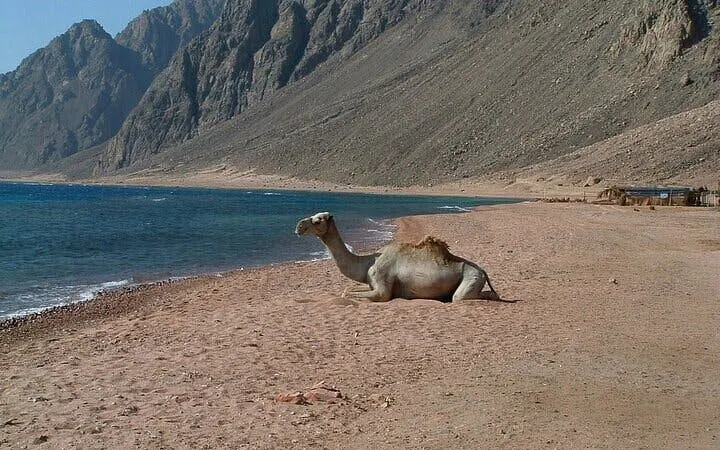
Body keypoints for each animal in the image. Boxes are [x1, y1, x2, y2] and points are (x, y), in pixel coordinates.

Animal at [295, 212, 499, 302]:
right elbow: (347, 289)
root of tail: (484, 271)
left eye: (318, 220)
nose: (298, 226)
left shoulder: (382, 287)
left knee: (462, 297)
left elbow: (353, 293)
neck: (367, 262)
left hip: (472, 277)